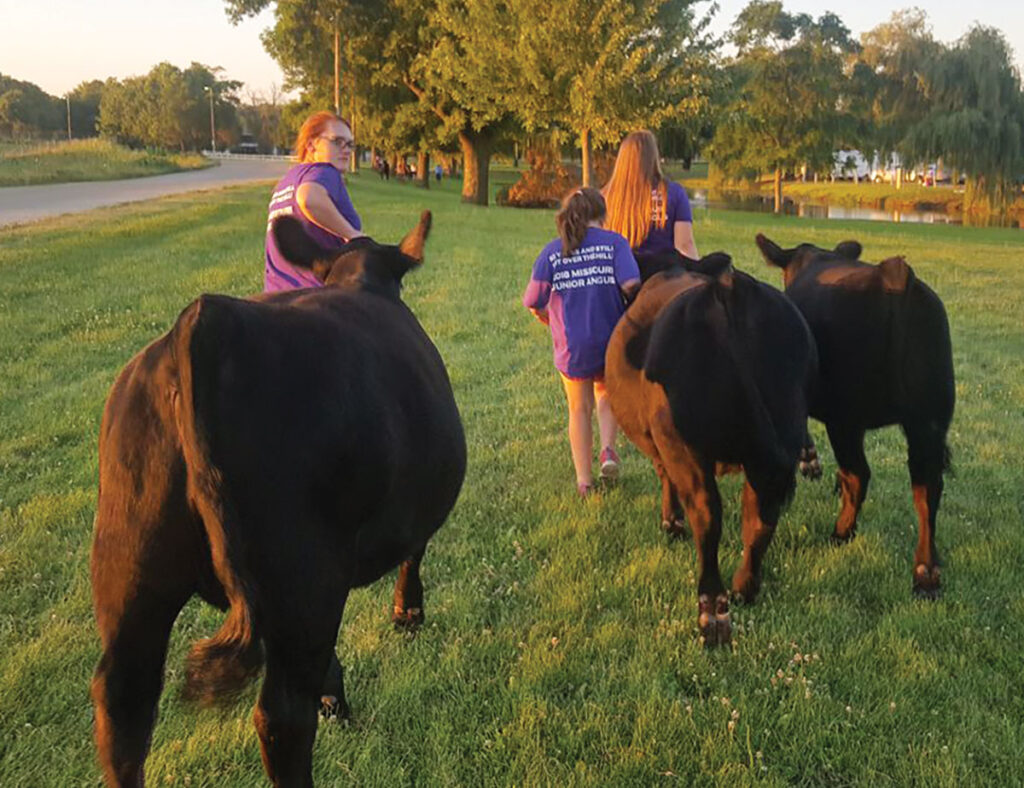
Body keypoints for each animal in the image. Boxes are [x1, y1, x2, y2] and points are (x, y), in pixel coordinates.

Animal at [92, 211, 468, 781]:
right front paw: (408, 613)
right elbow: (415, 550)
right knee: (281, 717)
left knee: (123, 707)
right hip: (304, 570)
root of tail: (206, 321)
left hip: (132, 567)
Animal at [606, 251, 815, 646]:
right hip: (782, 425)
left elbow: (666, 479)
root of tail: (728, 290)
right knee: (760, 514)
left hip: (683, 445)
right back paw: (744, 586)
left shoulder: (661, 444)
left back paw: (713, 611)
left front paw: (671, 522)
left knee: (707, 514)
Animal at [757, 233, 954, 597]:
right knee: (927, 489)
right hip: (928, 422)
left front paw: (811, 462)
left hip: (846, 419)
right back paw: (925, 573)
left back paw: (841, 532)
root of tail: (896, 276)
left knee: (859, 473)